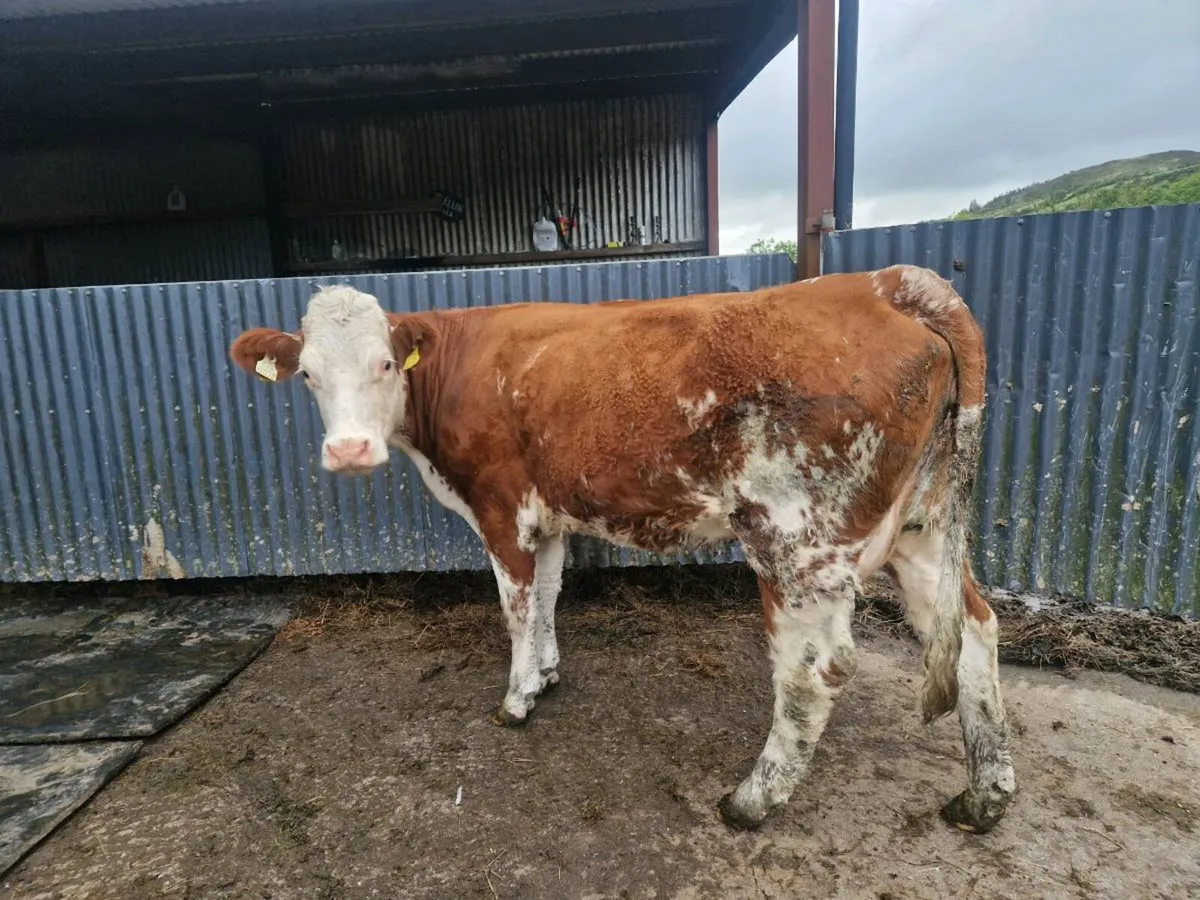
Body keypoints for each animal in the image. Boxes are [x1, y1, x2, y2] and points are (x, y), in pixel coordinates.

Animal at [229, 265, 1015, 834]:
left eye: (387, 365)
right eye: (308, 375)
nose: (349, 451)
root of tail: (888, 282)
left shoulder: (501, 507)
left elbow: (515, 606)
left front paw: (516, 699)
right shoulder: (548, 515)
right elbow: (548, 595)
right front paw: (546, 676)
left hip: (795, 539)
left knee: (812, 671)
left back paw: (750, 801)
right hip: (923, 526)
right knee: (975, 631)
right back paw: (985, 797)